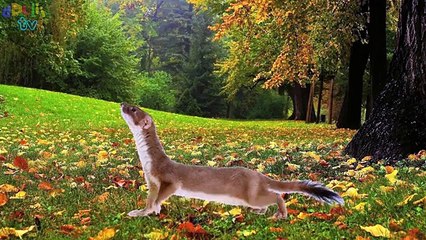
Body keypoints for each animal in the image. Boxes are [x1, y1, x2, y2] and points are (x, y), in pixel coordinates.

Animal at [120, 102, 342, 218]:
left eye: (133, 109)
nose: (122, 103)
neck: (149, 164)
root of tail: (259, 175)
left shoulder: (168, 178)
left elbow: (164, 193)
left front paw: (156, 208)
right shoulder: (151, 181)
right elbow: (150, 199)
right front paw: (140, 212)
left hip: (251, 194)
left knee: (276, 196)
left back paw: (279, 214)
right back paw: (259, 211)